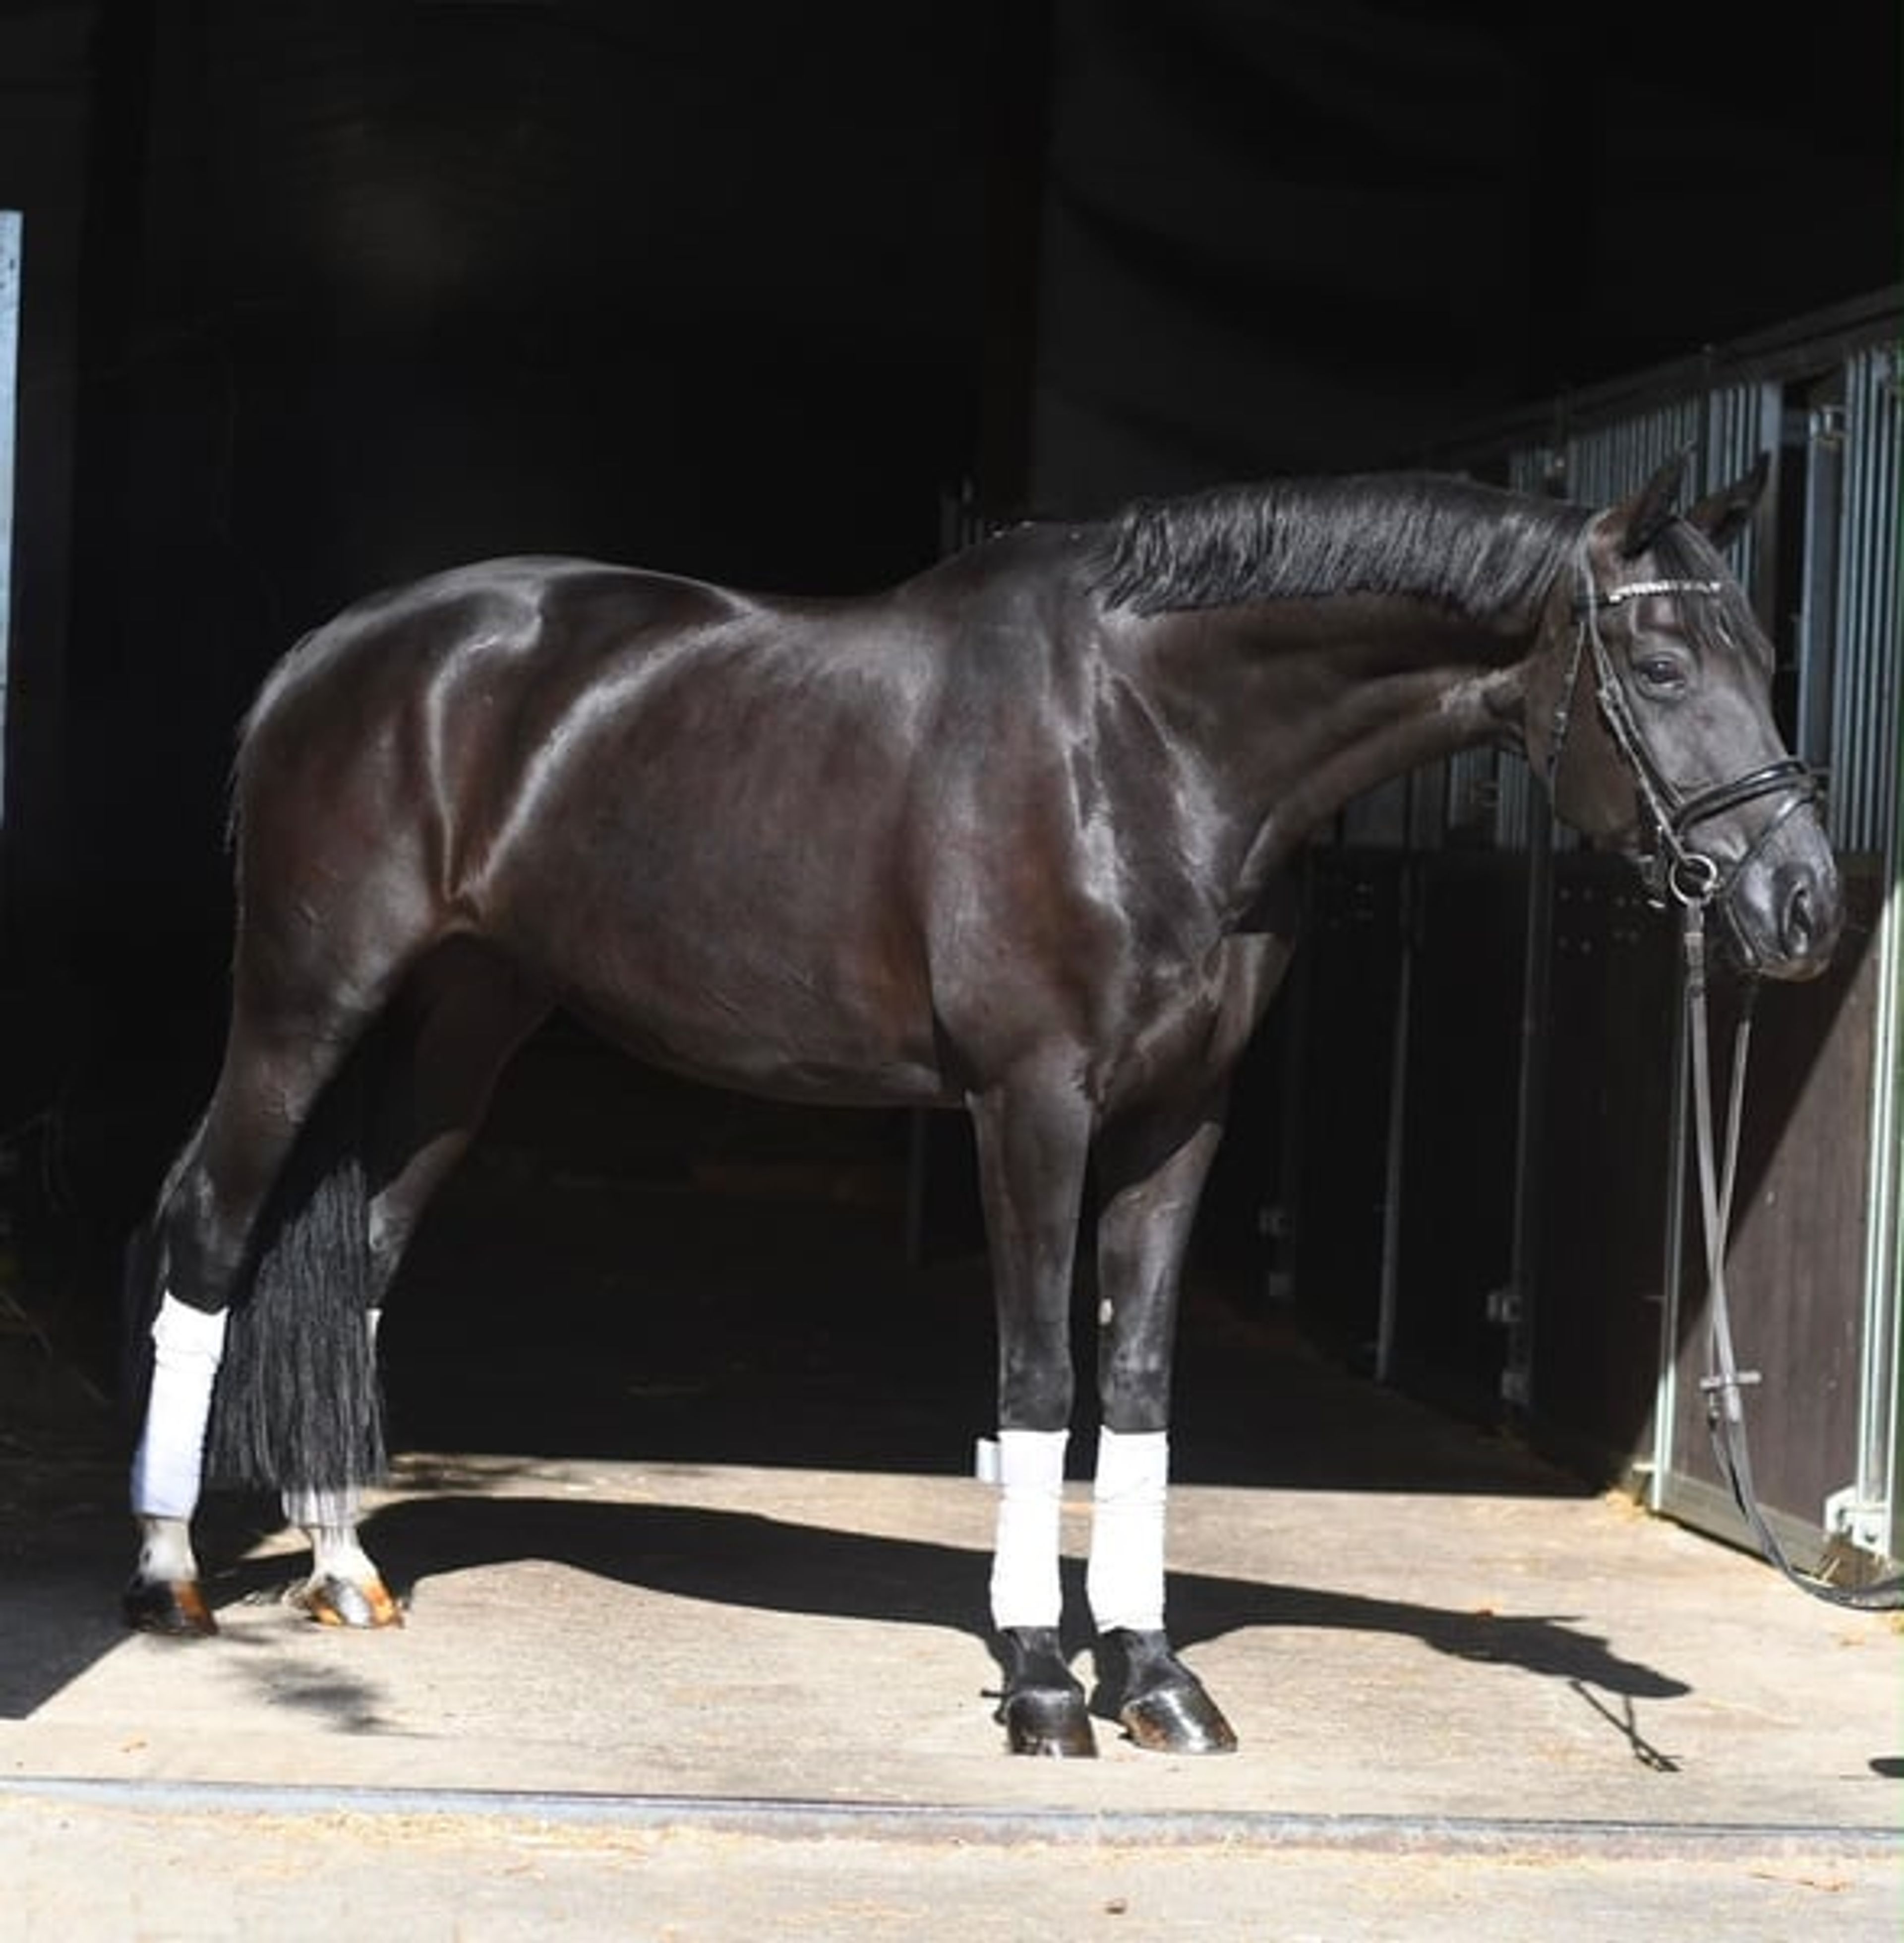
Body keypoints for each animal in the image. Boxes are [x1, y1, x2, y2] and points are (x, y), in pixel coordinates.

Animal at [123, 452, 1839, 1759]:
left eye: (1769, 666)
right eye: (1663, 668)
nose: (1803, 904)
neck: (1152, 741)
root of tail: (331, 657)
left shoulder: (1179, 1120)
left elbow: (1136, 1386)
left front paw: (1154, 1675)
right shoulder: (1033, 1107)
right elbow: (1035, 1376)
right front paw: (1039, 1680)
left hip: (471, 1024)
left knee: (362, 1258)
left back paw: (346, 1567)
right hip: (308, 1001)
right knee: (209, 1228)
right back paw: (167, 1573)